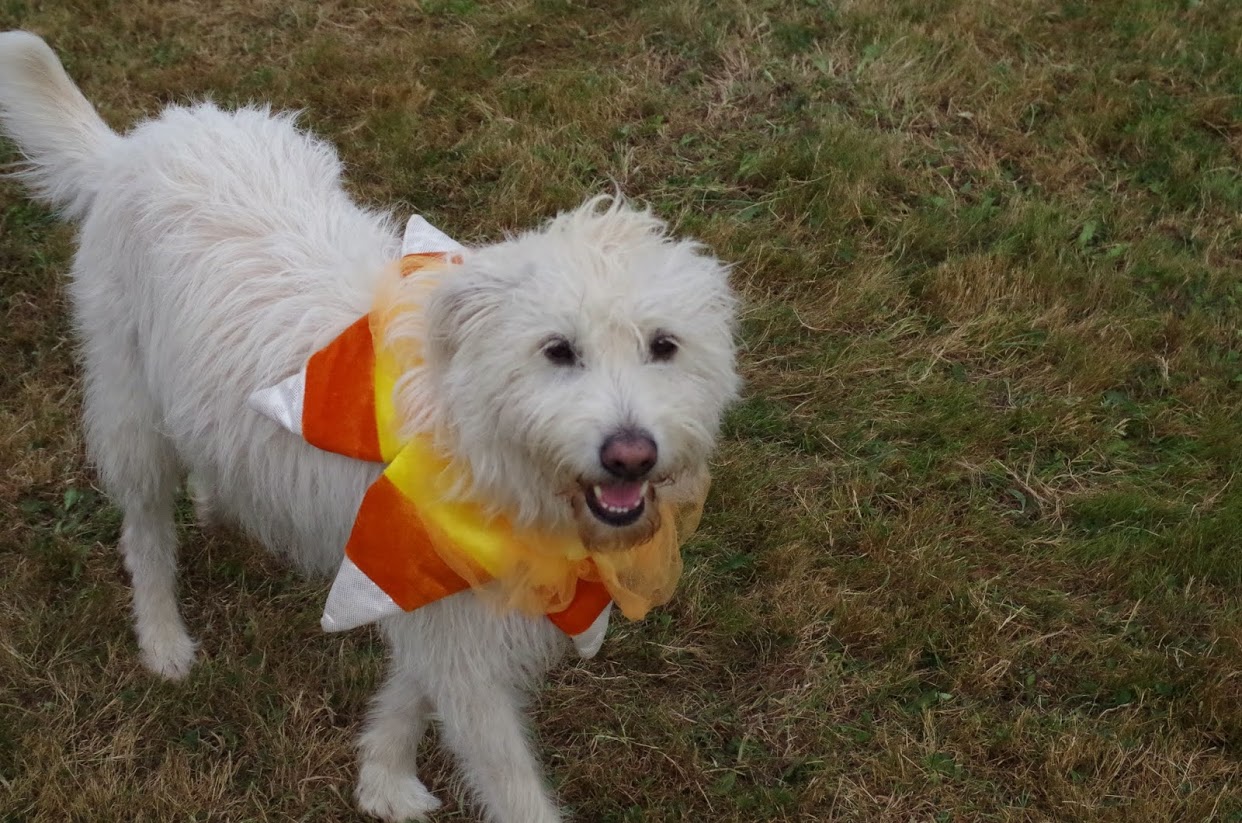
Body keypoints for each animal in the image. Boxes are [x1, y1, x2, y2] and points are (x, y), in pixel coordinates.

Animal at [0, 31, 739, 822]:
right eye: (557, 350)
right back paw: (164, 639)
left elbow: (411, 691)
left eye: (664, 345)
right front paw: (390, 778)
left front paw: (381, 774)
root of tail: (135, 145)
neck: (472, 436)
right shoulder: (452, 625)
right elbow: (509, 778)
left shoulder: (431, 600)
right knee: (143, 533)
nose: (632, 456)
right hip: (130, 409)